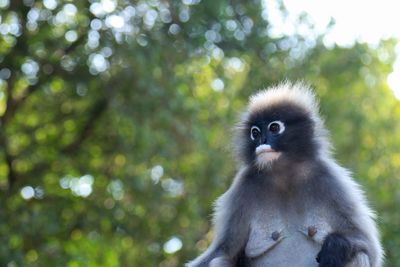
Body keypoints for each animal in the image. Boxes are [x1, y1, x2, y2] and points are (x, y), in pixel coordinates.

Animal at [188, 82, 384, 267]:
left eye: (274, 128)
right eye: (255, 133)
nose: (262, 141)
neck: (284, 175)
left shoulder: (330, 179)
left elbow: (370, 247)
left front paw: (336, 247)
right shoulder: (241, 188)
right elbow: (223, 251)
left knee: (359, 254)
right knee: (219, 260)